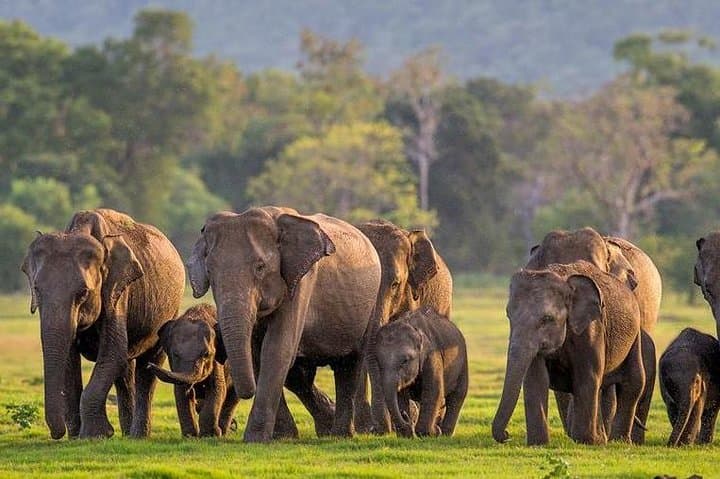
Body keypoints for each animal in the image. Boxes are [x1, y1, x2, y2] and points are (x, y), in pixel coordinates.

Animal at [21, 208, 185, 439]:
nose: (57, 434)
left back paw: (137, 436)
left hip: (171, 310)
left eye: (83, 293)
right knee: (125, 369)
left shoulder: (118, 291)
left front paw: (96, 435)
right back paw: (127, 434)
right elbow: (70, 358)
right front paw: (76, 437)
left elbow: (112, 351)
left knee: (147, 366)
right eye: (36, 290)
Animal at [148, 303, 238, 437]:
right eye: (175, 355)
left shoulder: (217, 360)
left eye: (206, 354)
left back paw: (223, 431)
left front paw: (210, 435)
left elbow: (217, 389)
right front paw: (190, 436)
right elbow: (181, 392)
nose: (149, 365)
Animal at [187, 206, 381, 443]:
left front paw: (255, 439)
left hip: (369, 307)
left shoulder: (302, 281)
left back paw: (339, 435)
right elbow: (258, 352)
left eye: (260, 267)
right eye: (209, 271)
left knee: (350, 364)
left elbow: (276, 348)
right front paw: (283, 437)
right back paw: (327, 426)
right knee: (302, 375)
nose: (233, 426)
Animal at [375, 306, 467, 438]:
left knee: (457, 396)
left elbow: (434, 391)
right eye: (378, 362)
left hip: (463, 362)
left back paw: (444, 433)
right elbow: (400, 395)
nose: (406, 418)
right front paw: (406, 435)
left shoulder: (432, 356)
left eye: (405, 361)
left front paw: (428, 433)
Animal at [492, 260, 645, 445]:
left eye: (547, 319)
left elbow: (587, 375)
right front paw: (538, 444)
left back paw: (618, 441)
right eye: (509, 316)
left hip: (635, 335)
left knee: (634, 382)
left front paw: (586, 441)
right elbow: (536, 378)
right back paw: (602, 439)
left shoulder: (592, 328)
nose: (506, 435)